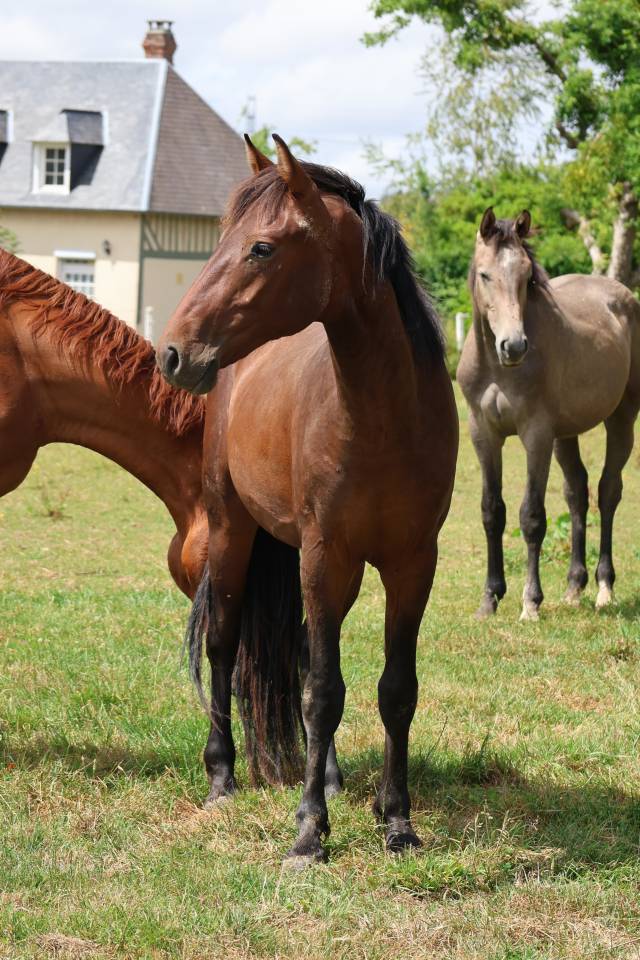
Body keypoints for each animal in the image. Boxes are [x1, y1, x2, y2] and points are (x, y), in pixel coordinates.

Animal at [156, 135, 458, 866]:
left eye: (261, 248)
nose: (173, 354)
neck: (384, 418)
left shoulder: (412, 563)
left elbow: (393, 690)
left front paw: (397, 821)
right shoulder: (325, 555)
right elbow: (323, 692)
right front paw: (308, 832)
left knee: (302, 651)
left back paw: (335, 778)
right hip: (236, 536)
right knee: (225, 646)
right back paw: (223, 777)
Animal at [457, 208, 640, 621]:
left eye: (527, 276)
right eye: (485, 275)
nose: (513, 346)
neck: (498, 368)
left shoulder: (536, 435)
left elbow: (531, 517)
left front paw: (531, 602)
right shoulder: (483, 433)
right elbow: (492, 512)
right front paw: (489, 599)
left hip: (621, 418)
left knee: (607, 491)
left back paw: (604, 588)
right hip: (566, 435)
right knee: (577, 494)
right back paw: (574, 587)